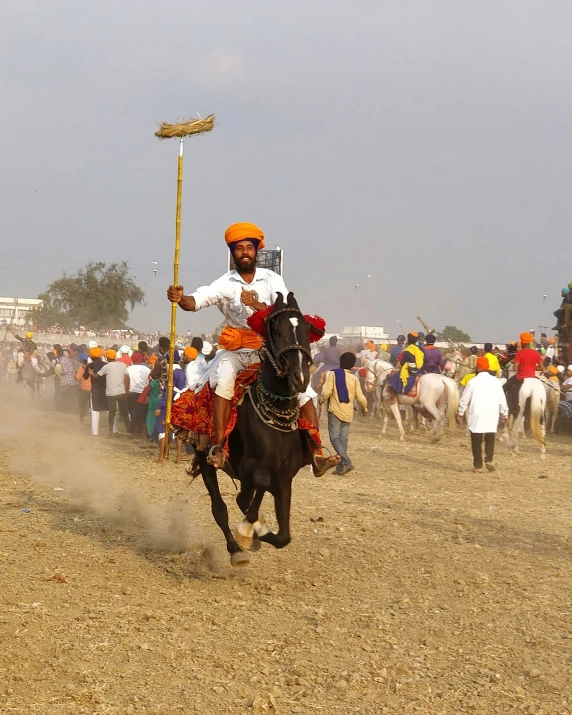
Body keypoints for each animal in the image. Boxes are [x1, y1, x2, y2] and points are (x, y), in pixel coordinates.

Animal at [194, 294, 316, 568]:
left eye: (306, 330)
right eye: (278, 331)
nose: (300, 377)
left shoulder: (284, 479)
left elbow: (283, 537)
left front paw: (256, 531)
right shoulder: (247, 467)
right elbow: (255, 485)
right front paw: (249, 532)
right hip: (206, 460)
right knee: (219, 508)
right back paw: (236, 549)